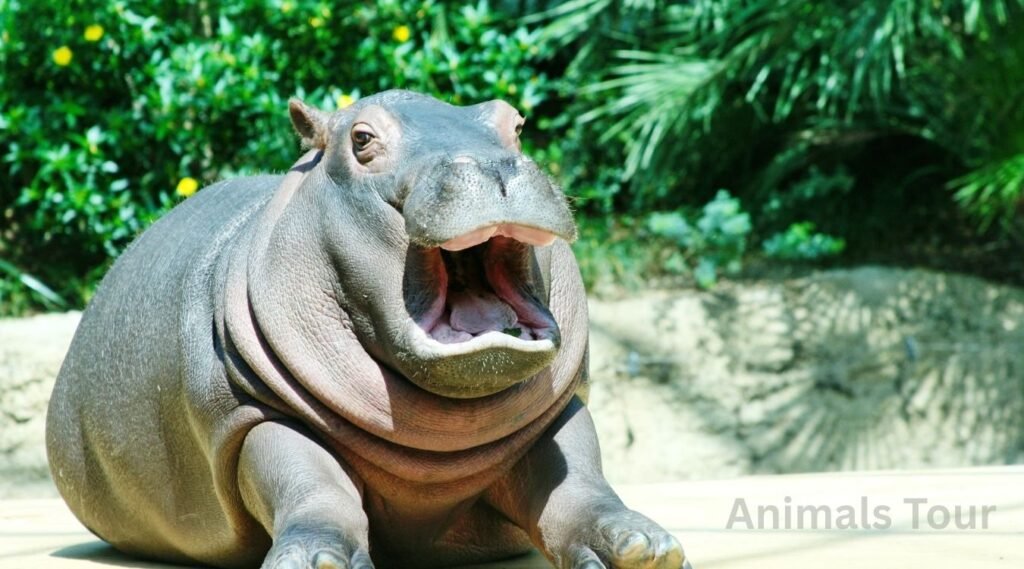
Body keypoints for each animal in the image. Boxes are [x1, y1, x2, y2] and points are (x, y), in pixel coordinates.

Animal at [46, 90, 688, 569]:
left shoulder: (557, 412)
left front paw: (642, 546)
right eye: (361, 139)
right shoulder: (251, 410)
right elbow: (311, 480)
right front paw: (317, 561)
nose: (494, 166)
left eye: (516, 125)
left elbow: (576, 477)